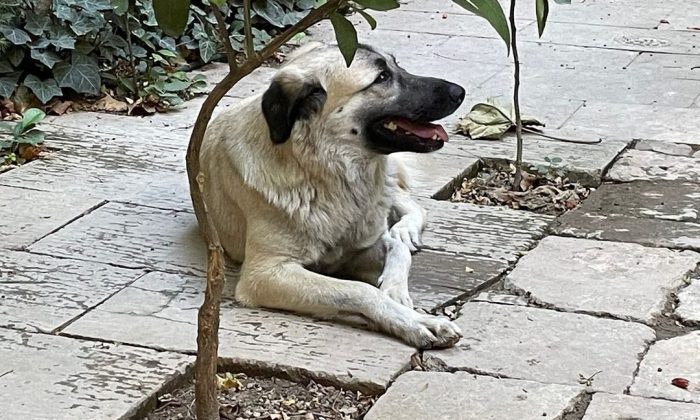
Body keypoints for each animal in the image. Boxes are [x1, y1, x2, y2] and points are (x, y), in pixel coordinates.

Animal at [200, 41, 468, 350]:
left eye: (396, 65)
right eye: (382, 78)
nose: (459, 91)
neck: (325, 173)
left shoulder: (362, 245)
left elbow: (396, 250)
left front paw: (396, 293)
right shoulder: (266, 274)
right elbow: (359, 290)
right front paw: (415, 322)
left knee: (406, 203)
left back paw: (405, 229)